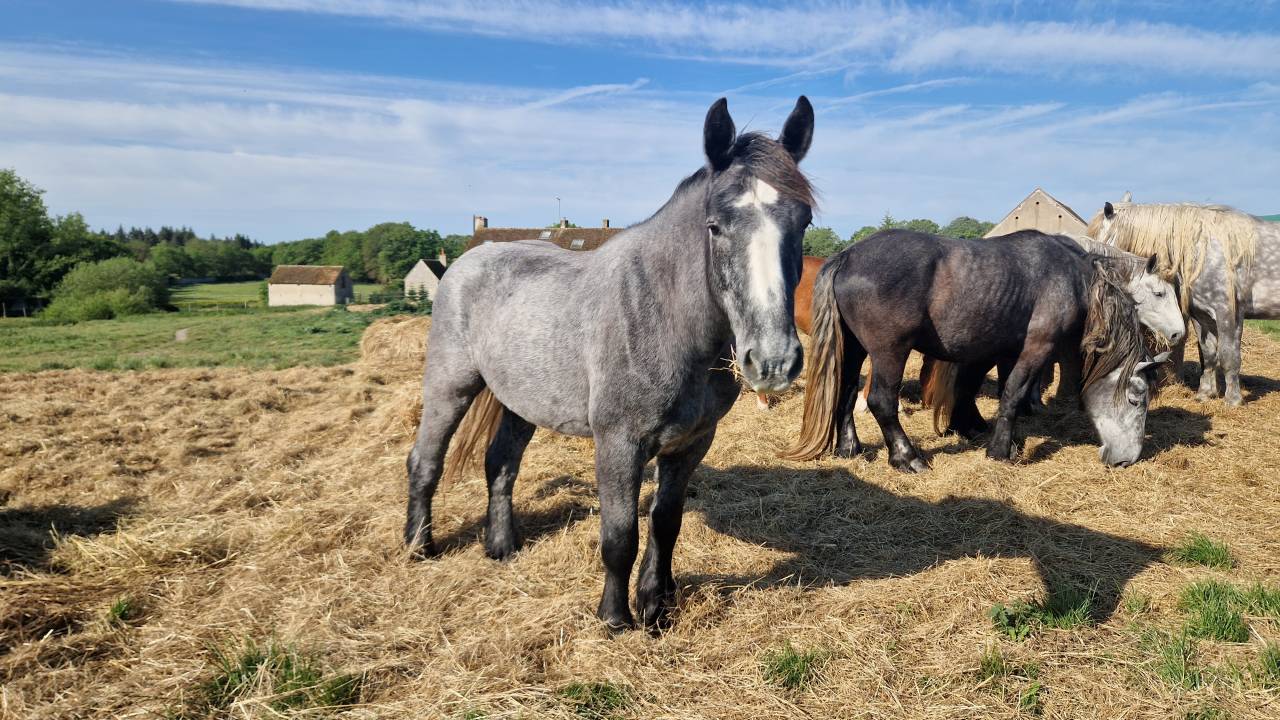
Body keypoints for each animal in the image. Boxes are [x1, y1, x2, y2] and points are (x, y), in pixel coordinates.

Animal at [405, 97, 816, 632]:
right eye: (715, 226)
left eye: (803, 222)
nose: (772, 361)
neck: (664, 317)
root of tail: (470, 258)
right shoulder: (619, 444)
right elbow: (620, 536)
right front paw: (616, 618)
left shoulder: (690, 443)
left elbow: (665, 523)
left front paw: (657, 606)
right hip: (450, 386)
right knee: (425, 460)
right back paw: (419, 546)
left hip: (519, 401)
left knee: (501, 463)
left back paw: (502, 547)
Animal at [781, 230, 1180, 471]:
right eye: (1137, 399)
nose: (1128, 460)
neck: (1072, 277)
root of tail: (847, 255)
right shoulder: (1036, 347)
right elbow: (1013, 394)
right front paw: (1000, 451)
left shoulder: (1001, 349)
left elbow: (987, 389)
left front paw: (985, 432)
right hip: (889, 351)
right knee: (880, 400)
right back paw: (907, 457)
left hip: (853, 348)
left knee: (847, 390)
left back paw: (849, 447)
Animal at [1088, 201, 1280, 406]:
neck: (1204, 252)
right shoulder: (1202, 316)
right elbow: (1209, 354)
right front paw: (1205, 394)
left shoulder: (1228, 313)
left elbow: (1229, 356)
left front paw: (1233, 400)